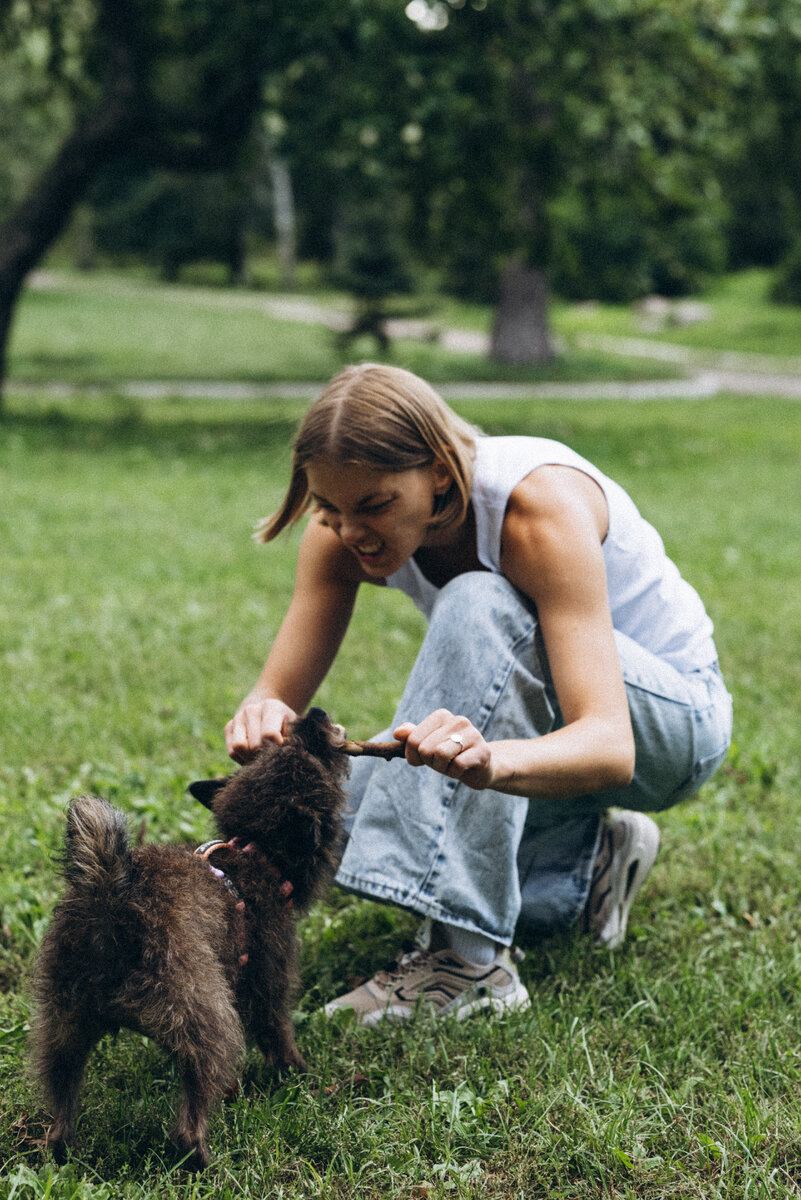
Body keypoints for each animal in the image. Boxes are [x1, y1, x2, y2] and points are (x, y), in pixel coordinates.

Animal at [29, 705, 347, 1166]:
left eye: (283, 741)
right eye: (313, 752)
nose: (316, 713)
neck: (255, 853)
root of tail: (112, 900)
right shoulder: (267, 978)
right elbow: (276, 1031)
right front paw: (299, 1075)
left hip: (64, 1020)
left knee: (61, 1090)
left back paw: (63, 1147)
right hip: (206, 1018)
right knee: (193, 1105)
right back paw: (199, 1156)